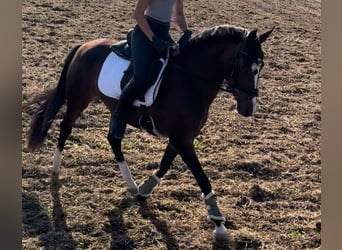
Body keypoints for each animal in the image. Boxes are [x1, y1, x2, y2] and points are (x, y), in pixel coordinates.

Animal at [26, 24, 272, 238]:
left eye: (261, 67)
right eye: (245, 66)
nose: (248, 109)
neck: (190, 80)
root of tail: (85, 46)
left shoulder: (181, 138)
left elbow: (164, 165)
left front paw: (144, 191)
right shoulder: (182, 139)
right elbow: (201, 177)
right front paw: (218, 223)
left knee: (113, 139)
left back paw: (132, 184)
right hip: (79, 98)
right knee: (66, 127)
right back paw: (55, 170)